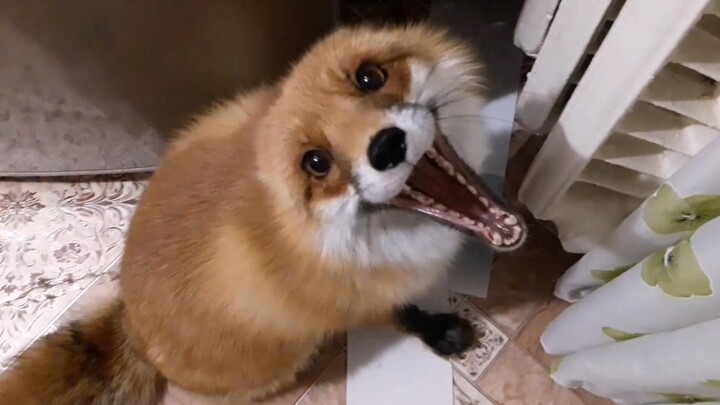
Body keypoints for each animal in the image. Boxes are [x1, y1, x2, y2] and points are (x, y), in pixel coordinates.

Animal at [0, 25, 526, 404]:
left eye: (369, 77)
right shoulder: (352, 300)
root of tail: (131, 322)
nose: (387, 146)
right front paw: (440, 333)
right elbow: (402, 315)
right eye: (316, 162)